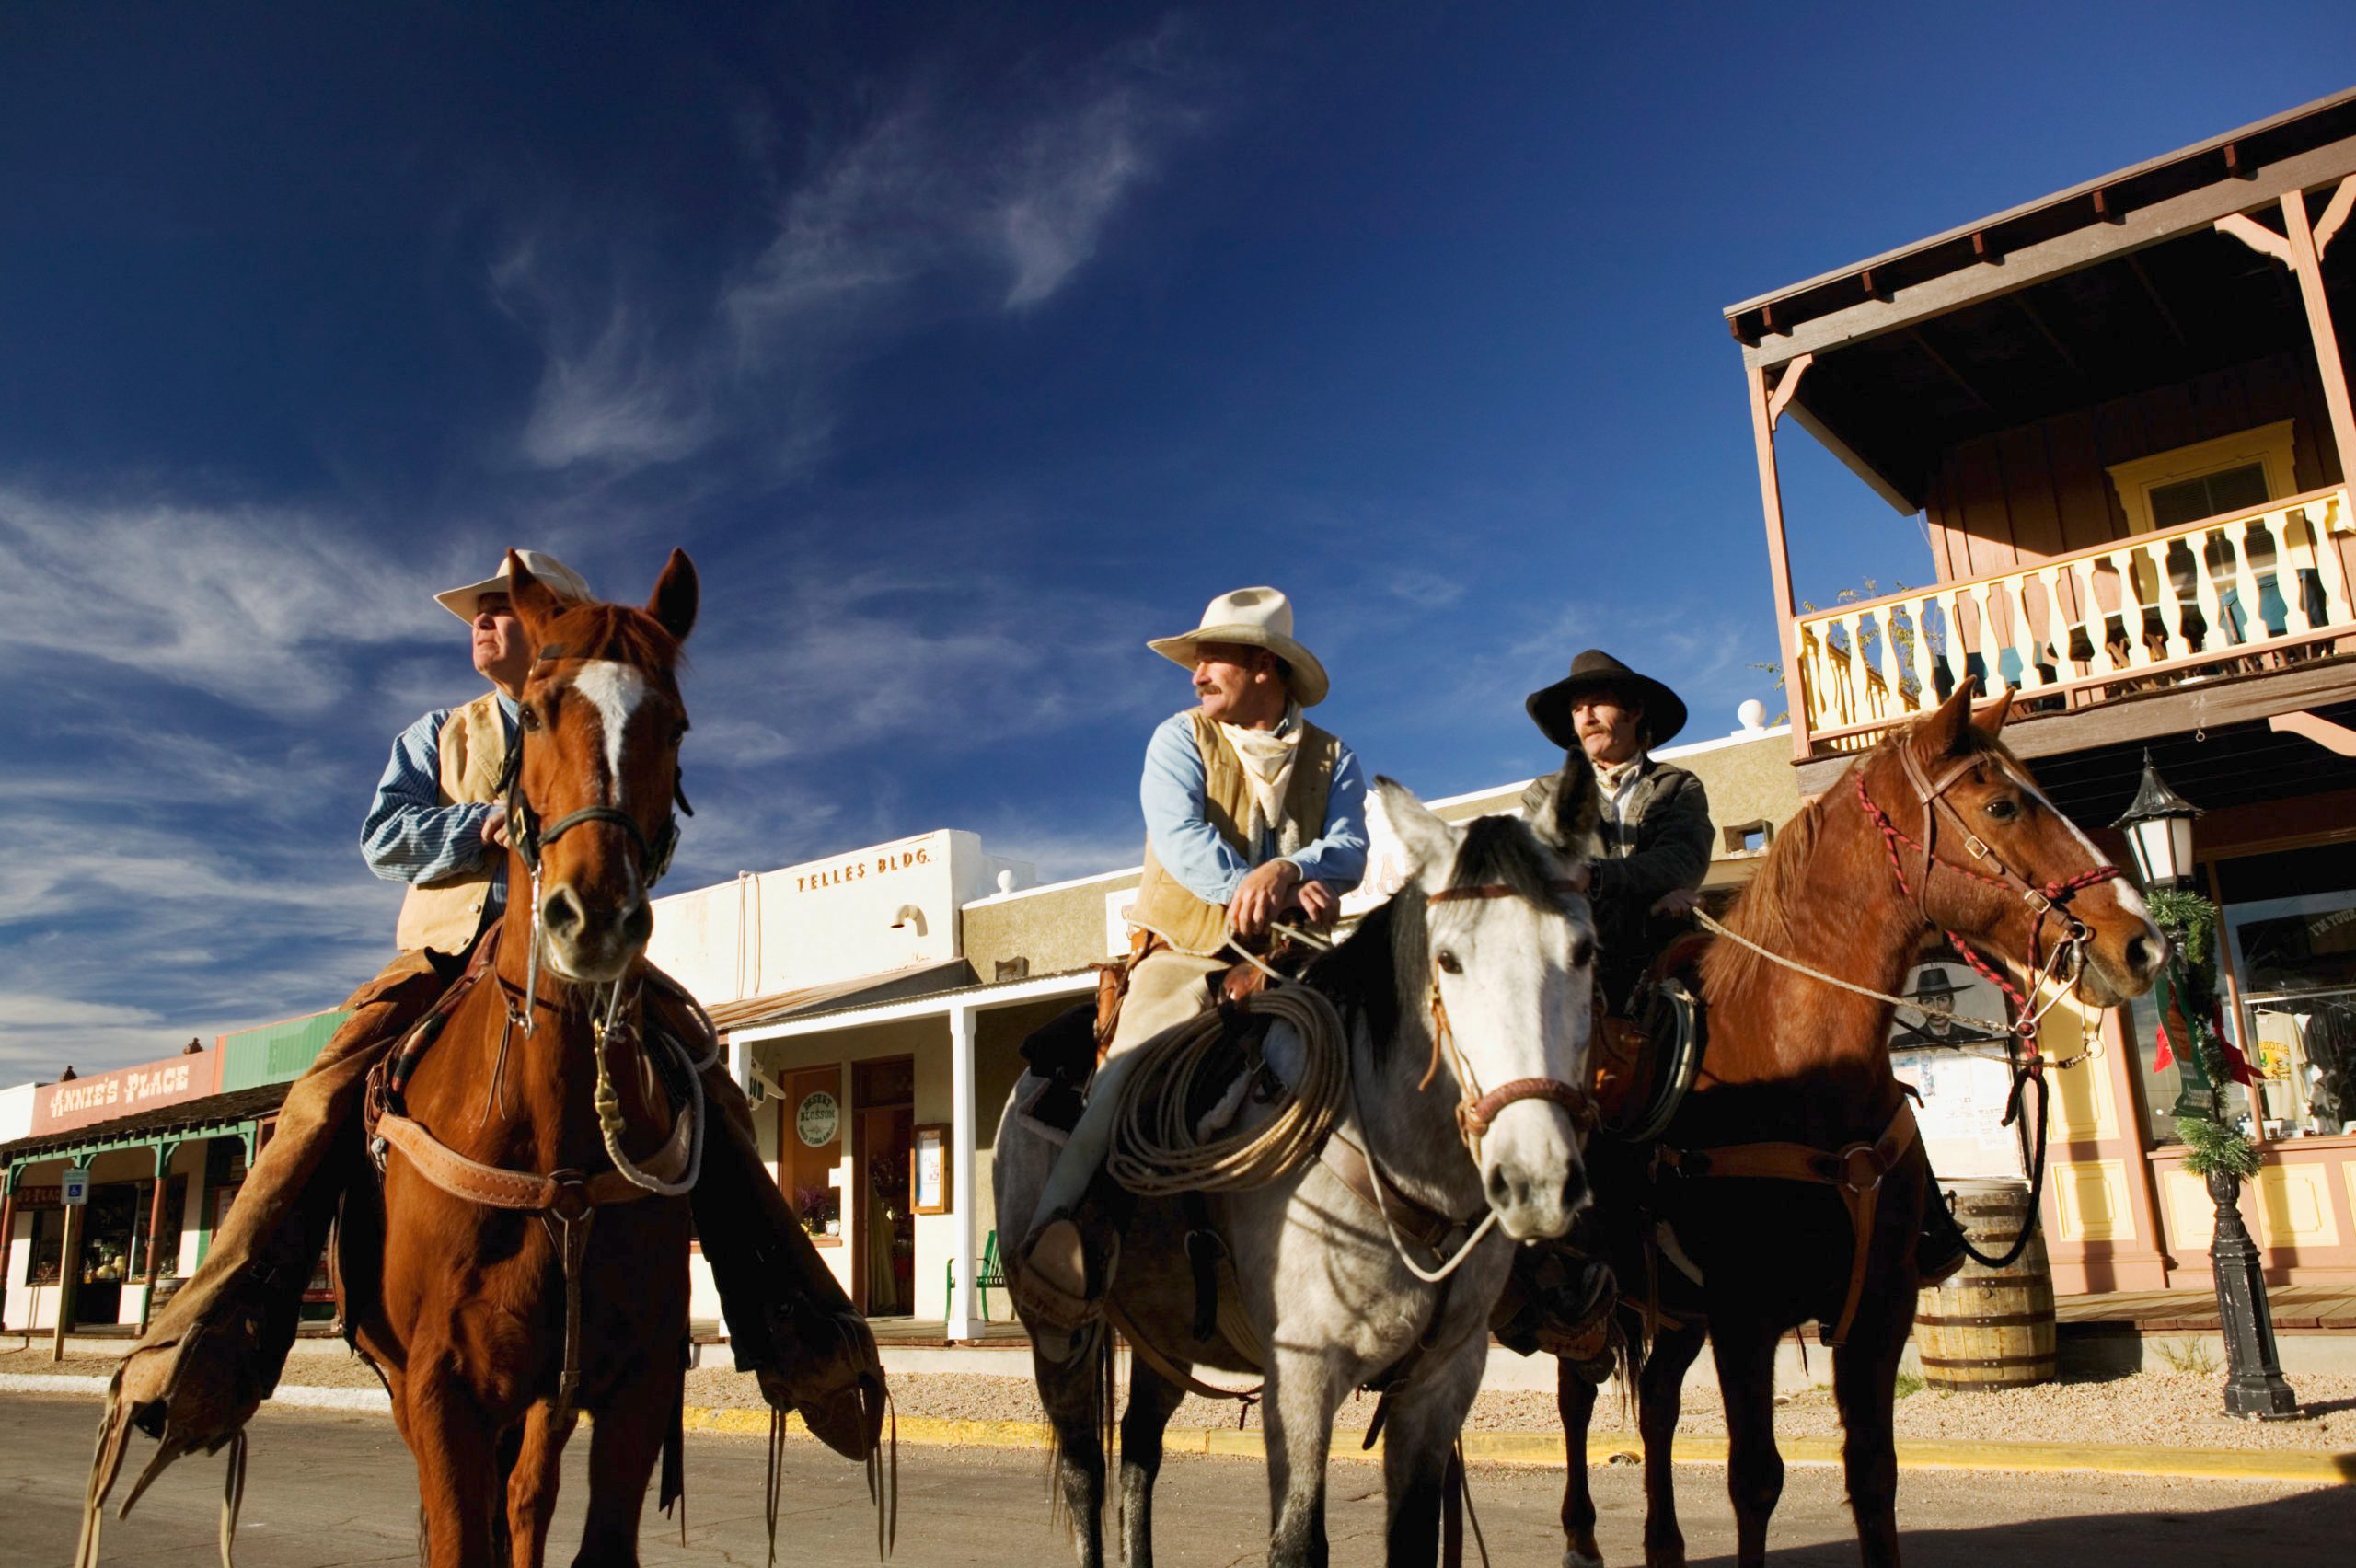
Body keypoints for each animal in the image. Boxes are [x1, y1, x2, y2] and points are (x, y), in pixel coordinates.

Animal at [341, 544, 701, 1553]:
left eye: (675, 725)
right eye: (537, 713)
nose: (596, 918)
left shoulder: (635, 1385)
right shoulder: (438, 1385)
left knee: (526, 1498)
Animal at [994, 757, 1601, 1562]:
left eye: (1585, 951)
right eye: (1448, 961)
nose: (1535, 1182)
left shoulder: (1443, 1380)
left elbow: (1411, 1538)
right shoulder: (1302, 1373)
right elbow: (1297, 1541)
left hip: (1165, 1333)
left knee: (1139, 1450)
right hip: (1056, 1335)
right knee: (1084, 1469)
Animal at [1554, 682, 2157, 1562]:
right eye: (2004, 804)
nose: (2141, 943)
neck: (1799, 1058)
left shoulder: (1876, 1307)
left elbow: (1874, 1474)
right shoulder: (1746, 1314)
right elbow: (1754, 1479)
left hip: (1674, 1309)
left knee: (1659, 1400)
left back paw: (1662, 1543)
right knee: (1577, 1398)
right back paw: (1581, 1538)